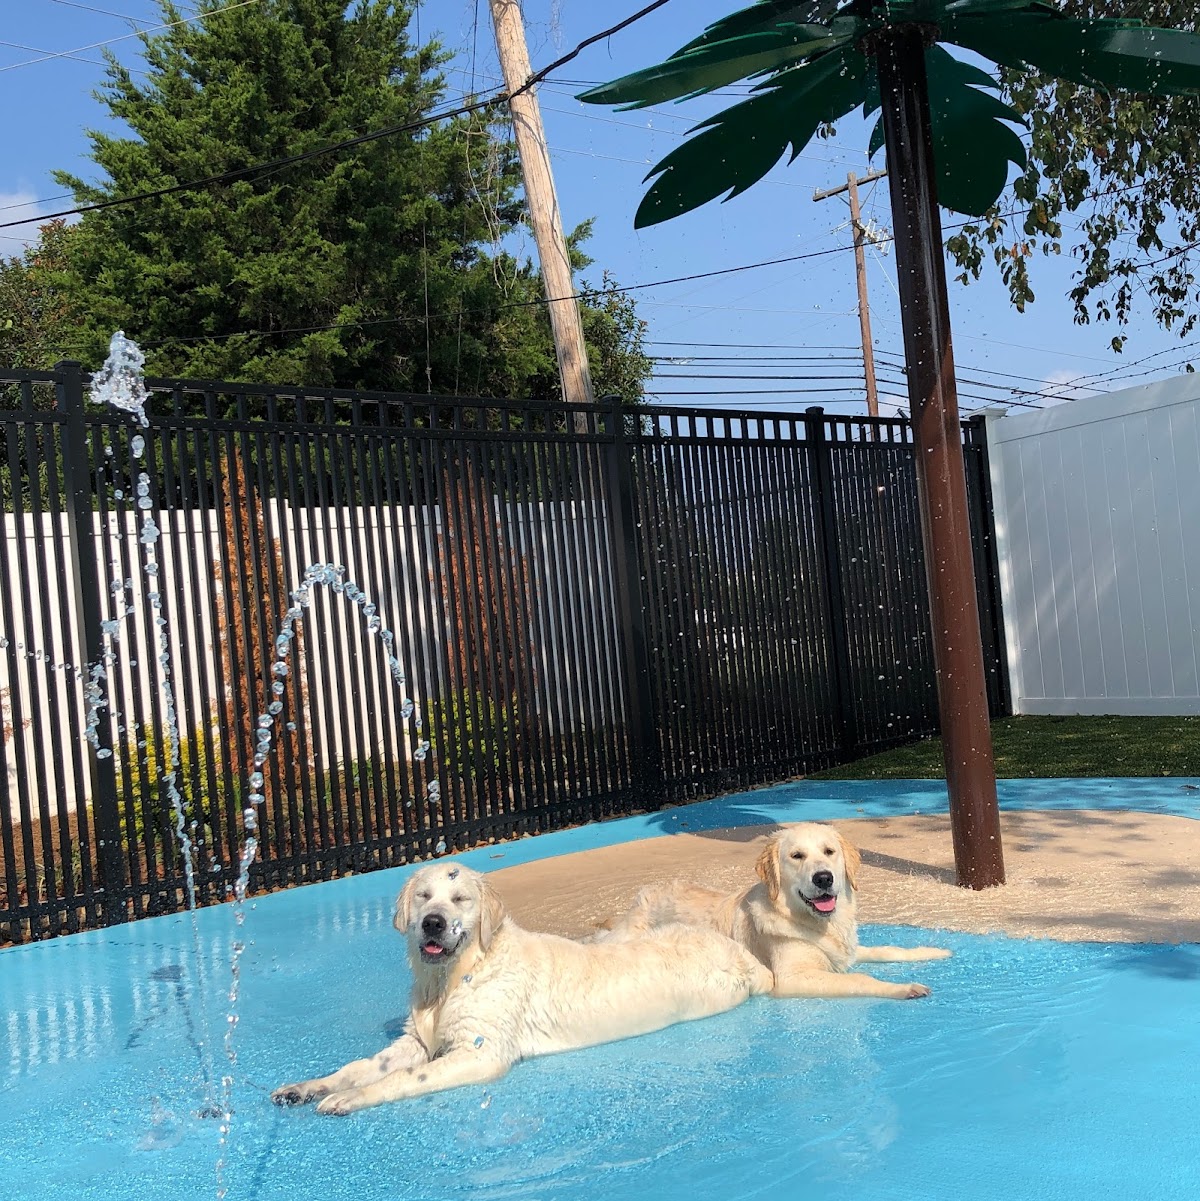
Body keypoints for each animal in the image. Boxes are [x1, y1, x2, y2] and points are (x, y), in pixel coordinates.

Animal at [271, 859, 768, 1109]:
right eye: (424, 896)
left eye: (460, 899)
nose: (433, 923)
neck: (457, 975)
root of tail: (743, 957)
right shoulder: (416, 1039)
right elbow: (363, 1066)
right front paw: (308, 1087)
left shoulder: (481, 1051)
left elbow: (409, 1076)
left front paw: (350, 1098)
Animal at [595, 821, 951, 999]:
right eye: (796, 856)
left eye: (829, 851)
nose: (824, 878)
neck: (812, 921)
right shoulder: (792, 978)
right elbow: (861, 978)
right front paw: (904, 988)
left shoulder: (844, 951)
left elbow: (887, 949)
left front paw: (932, 951)